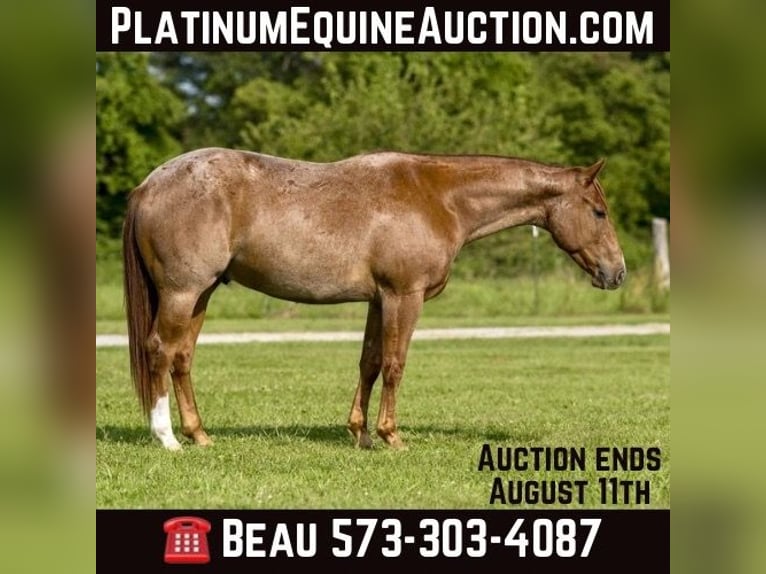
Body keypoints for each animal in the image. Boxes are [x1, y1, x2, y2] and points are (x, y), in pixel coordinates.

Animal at [122, 148, 626, 451]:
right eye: (599, 212)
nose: (616, 273)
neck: (439, 197)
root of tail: (149, 184)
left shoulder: (378, 300)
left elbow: (369, 362)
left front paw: (360, 433)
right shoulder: (404, 296)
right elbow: (395, 364)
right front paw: (391, 436)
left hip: (201, 293)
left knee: (182, 357)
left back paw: (200, 435)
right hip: (183, 293)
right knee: (160, 352)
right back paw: (167, 438)